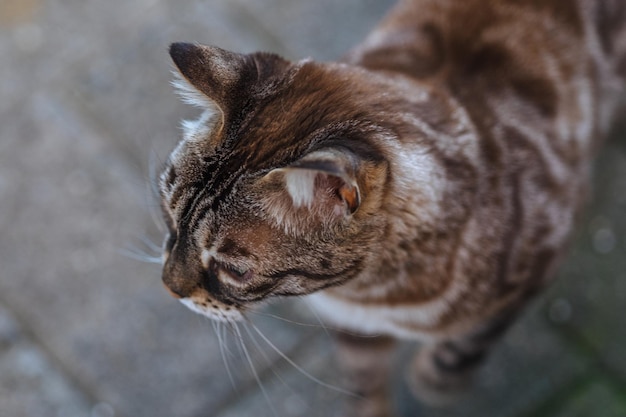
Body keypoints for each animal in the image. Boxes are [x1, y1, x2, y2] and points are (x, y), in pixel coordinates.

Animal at [157, 1, 624, 414]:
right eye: (168, 219)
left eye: (234, 271)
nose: (169, 287)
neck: (368, 292)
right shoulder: (354, 326)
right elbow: (364, 379)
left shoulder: (542, 255)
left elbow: (464, 344)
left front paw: (436, 382)